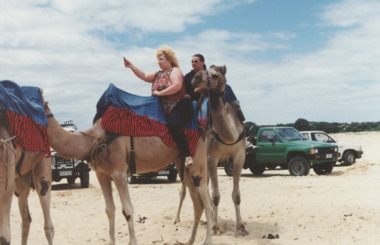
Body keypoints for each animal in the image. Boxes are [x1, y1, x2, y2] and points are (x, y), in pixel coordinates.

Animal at [42, 96, 214, 244]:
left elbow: (128, 210)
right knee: (197, 203)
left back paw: (207, 240)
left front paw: (132, 241)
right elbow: (109, 210)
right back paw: (189, 241)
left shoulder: (119, 172)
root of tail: (201, 129)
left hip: (197, 160)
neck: (96, 139)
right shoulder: (102, 174)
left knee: (207, 200)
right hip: (182, 163)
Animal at [176, 65, 249, 235]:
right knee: (183, 191)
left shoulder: (239, 156)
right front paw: (215, 227)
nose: (195, 77)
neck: (228, 136)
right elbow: (216, 196)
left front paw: (241, 226)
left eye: (215, 75)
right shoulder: (211, 158)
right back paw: (177, 219)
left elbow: (236, 195)